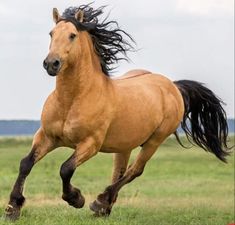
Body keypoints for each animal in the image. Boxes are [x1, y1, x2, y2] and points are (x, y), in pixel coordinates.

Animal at [4, 4, 230, 221]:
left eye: (72, 35)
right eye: (51, 33)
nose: (51, 63)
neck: (72, 100)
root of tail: (173, 86)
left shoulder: (90, 144)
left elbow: (65, 168)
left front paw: (76, 199)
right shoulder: (46, 136)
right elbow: (25, 164)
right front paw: (12, 208)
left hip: (154, 141)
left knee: (134, 171)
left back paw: (100, 202)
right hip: (125, 145)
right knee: (119, 172)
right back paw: (104, 208)